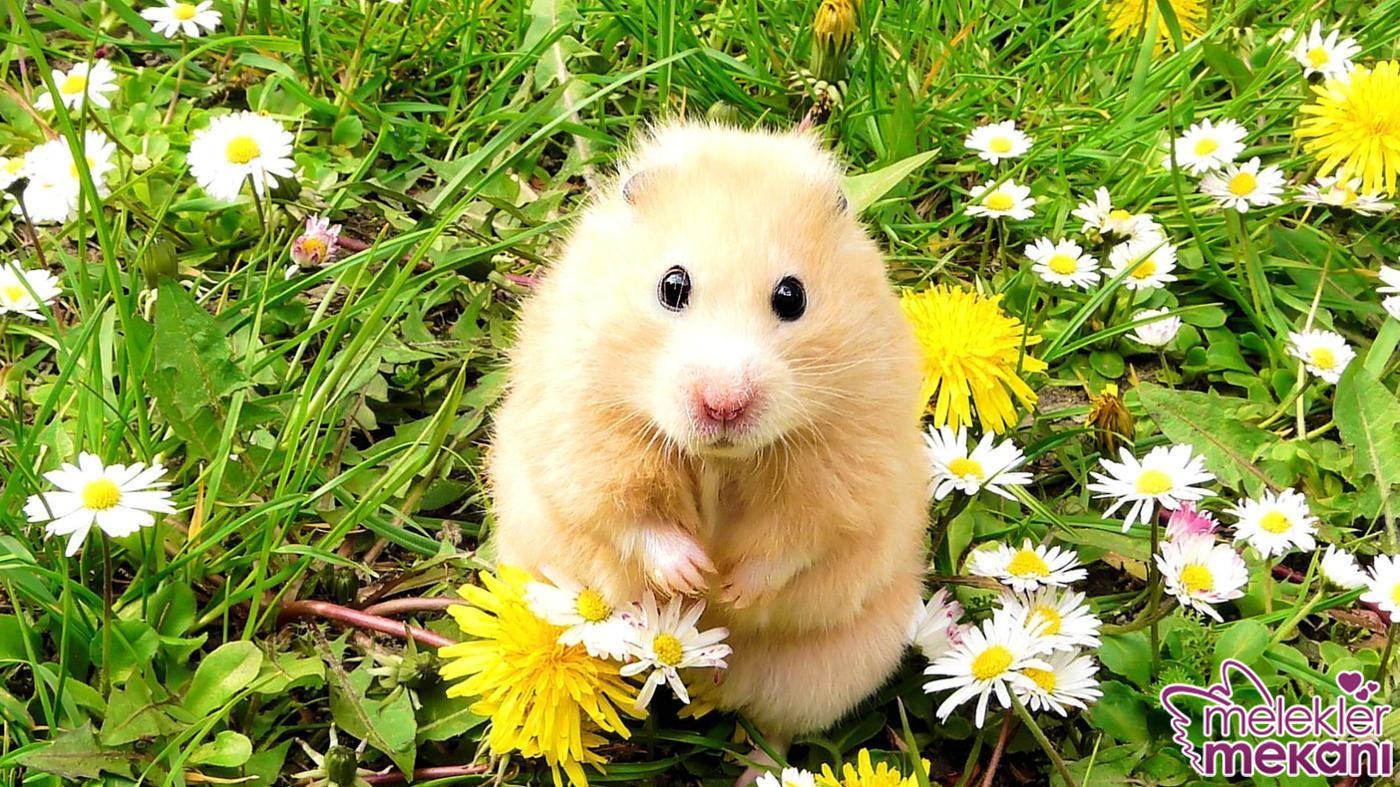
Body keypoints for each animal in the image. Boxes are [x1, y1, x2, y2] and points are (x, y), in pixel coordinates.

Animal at [488, 122, 930, 774]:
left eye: (792, 296)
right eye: (672, 286)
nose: (723, 405)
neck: (720, 460)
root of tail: (708, 678)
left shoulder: (846, 468)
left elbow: (797, 540)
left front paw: (729, 593)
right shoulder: (585, 436)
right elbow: (629, 517)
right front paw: (693, 578)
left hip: (827, 670)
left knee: (775, 730)